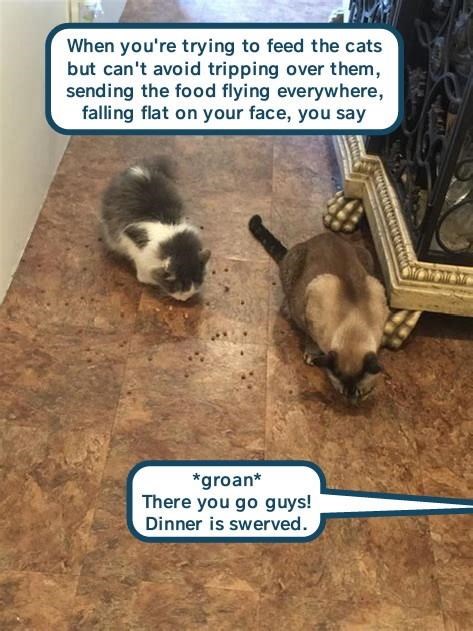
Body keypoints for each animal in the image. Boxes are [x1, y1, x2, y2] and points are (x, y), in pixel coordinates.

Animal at [101, 156, 210, 301]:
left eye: (197, 282)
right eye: (178, 287)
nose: (185, 299)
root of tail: (136, 169)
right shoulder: (133, 244)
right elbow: (145, 275)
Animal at [249, 215, 389, 402]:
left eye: (364, 393)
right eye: (341, 393)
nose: (352, 404)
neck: (354, 326)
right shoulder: (311, 309)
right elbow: (312, 341)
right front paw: (312, 355)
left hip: (367, 259)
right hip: (292, 268)